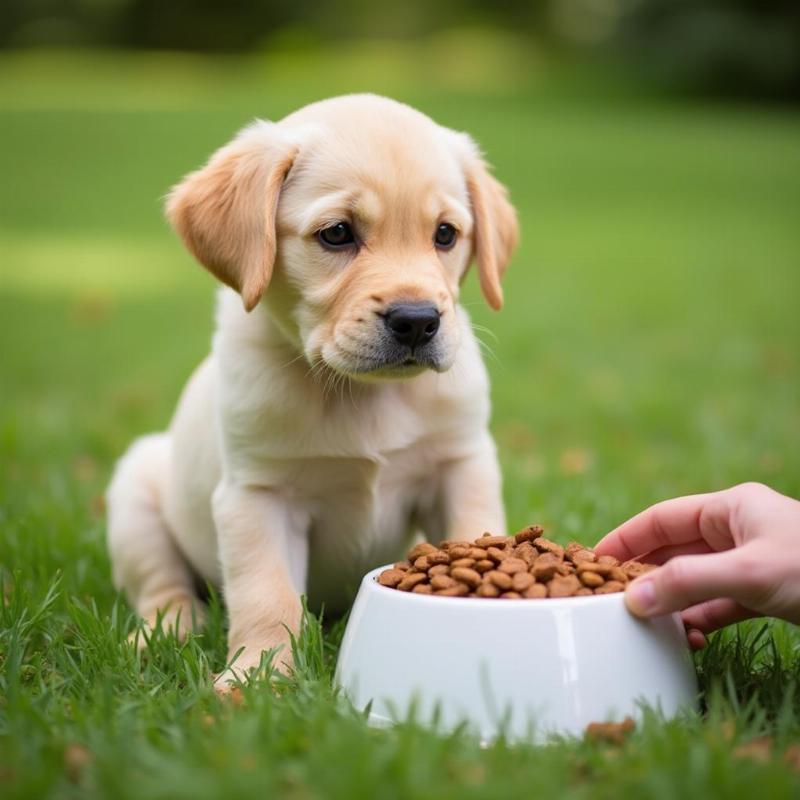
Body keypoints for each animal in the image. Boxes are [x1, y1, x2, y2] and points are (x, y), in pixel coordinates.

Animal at [106, 92, 520, 680]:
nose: (418, 321)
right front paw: (256, 677)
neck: (361, 392)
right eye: (337, 233)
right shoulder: (259, 495)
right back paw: (159, 636)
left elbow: (474, 528)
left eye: (445, 234)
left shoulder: (460, 465)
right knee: (164, 590)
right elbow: (267, 595)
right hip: (134, 496)